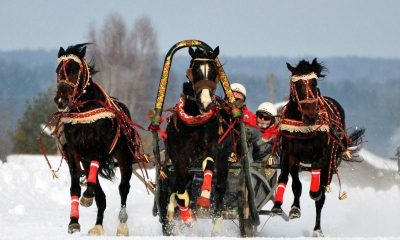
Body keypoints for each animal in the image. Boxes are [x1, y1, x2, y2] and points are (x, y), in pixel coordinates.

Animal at [51, 43, 147, 236]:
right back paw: (98, 226)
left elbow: (94, 175)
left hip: (125, 157)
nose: (60, 100)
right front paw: (74, 222)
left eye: (74, 70)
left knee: (123, 189)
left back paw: (122, 225)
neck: (85, 114)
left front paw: (87, 195)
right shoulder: (75, 152)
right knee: (101, 196)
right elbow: (76, 187)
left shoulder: (100, 148)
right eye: (58, 71)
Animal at [163, 46, 234, 233]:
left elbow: (208, 164)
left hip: (224, 161)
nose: (206, 103)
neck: (195, 122)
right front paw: (186, 216)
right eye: (194, 71)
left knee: (220, 188)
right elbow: (180, 188)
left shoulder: (212, 147)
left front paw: (203, 198)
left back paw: (216, 225)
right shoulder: (179, 157)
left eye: (214, 71)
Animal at [272, 58, 366, 236]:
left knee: (321, 197)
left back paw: (317, 228)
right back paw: (295, 207)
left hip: (332, 162)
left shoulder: (325, 154)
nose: (311, 116)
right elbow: (286, 179)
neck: (303, 128)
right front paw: (279, 206)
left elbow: (317, 167)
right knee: (296, 184)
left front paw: (315, 192)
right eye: (298, 84)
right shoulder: (289, 154)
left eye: (314, 83)